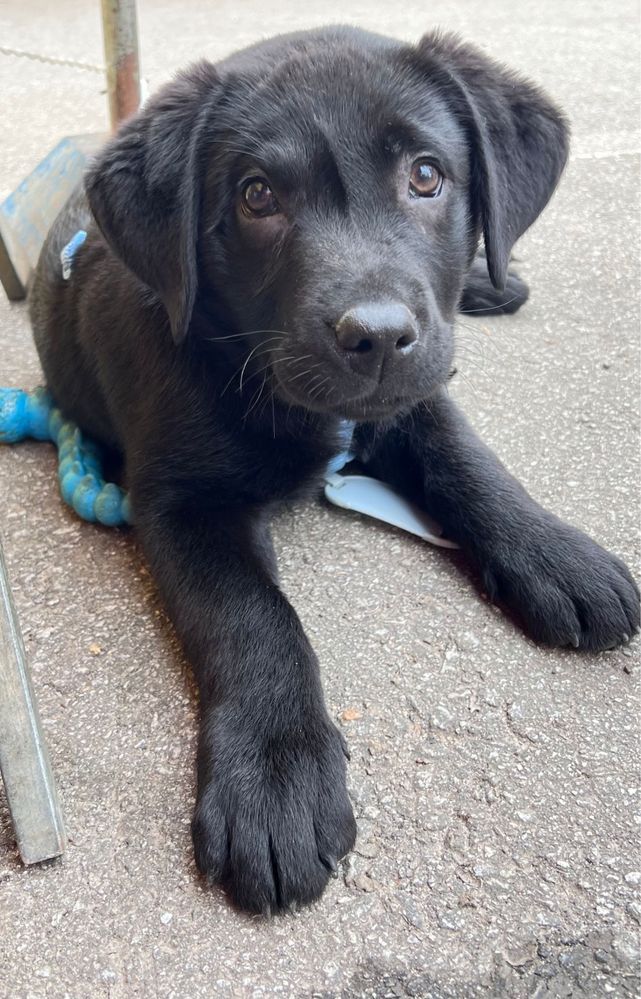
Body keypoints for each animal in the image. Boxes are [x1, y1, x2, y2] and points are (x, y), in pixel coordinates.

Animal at [28, 25, 636, 916]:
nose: (377, 336)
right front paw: (275, 773)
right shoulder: (177, 499)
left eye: (426, 175)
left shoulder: (413, 393)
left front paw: (557, 554)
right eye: (255, 197)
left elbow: (467, 459)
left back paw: (495, 281)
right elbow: (254, 616)